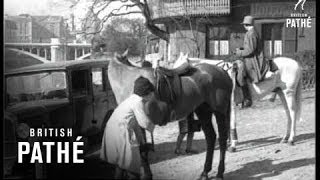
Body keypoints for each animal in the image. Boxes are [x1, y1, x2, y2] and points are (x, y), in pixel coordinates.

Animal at [107, 49, 232, 180]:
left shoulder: (139, 124)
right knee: (210, 138)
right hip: (203, 112)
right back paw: (205, 172)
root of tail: (222, 71)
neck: (129, 82)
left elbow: (142, 150)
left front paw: (147, 175)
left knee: (222, 139)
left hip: (219, 112)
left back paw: (219, 173)